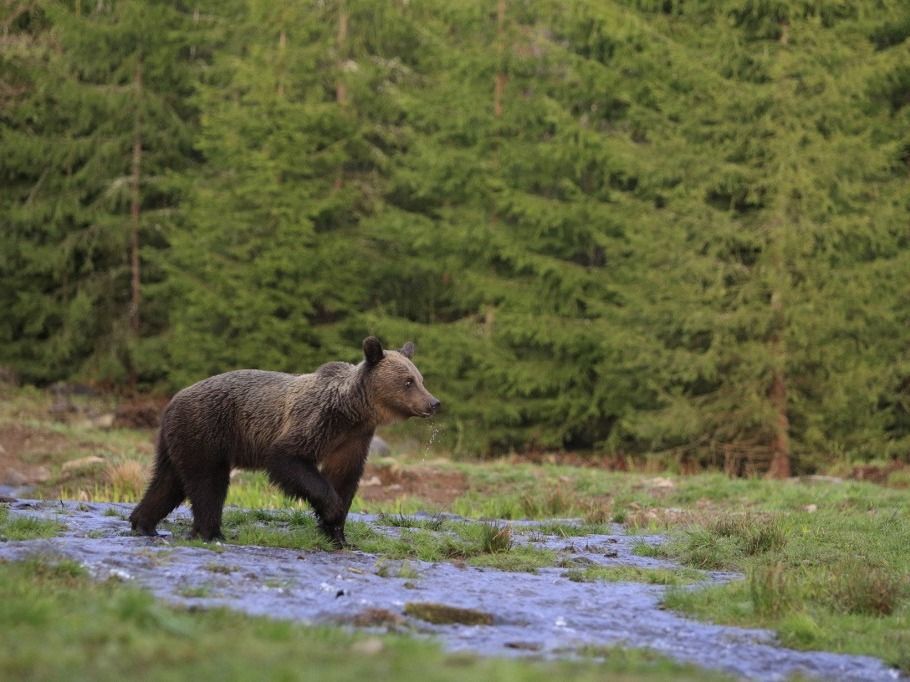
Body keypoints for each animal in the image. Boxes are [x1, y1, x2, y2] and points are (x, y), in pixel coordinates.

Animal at [130, 338, 440, 544]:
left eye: (421, 379)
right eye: (408, 381)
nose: (434, 403)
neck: (354, 411)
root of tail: (172, 402)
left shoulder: (354, 438)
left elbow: (345, 477)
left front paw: (338, 534)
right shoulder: (316, 421)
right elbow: (289, 458)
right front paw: (331, 511)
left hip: (179, 439)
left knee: (169, 481)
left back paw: (143, 523)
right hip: (207, 429)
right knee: (208, 483)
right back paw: (211, 532)